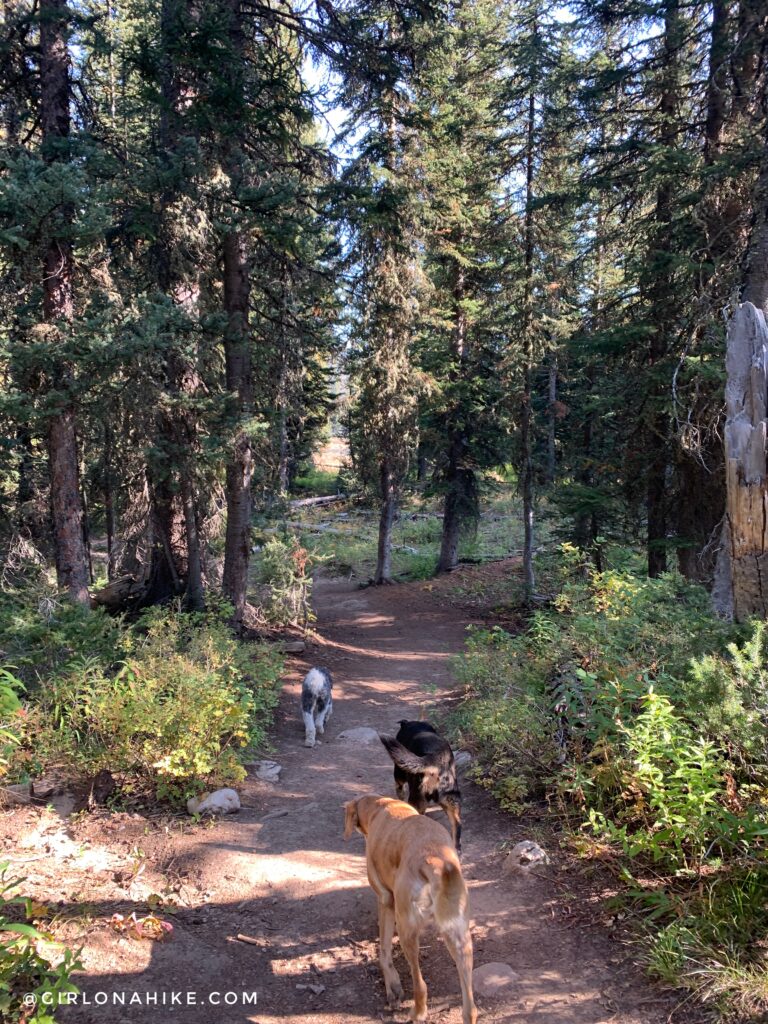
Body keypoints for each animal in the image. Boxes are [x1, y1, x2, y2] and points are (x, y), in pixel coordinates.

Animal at [342, 794, 475, 1024]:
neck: (378, 806)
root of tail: (435, 860)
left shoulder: (385, 900)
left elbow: (384, 950)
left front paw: (392, 987)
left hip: (408, 931)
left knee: (420, 985)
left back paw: (417, 1012)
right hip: (460, 940)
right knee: (470, 1008)